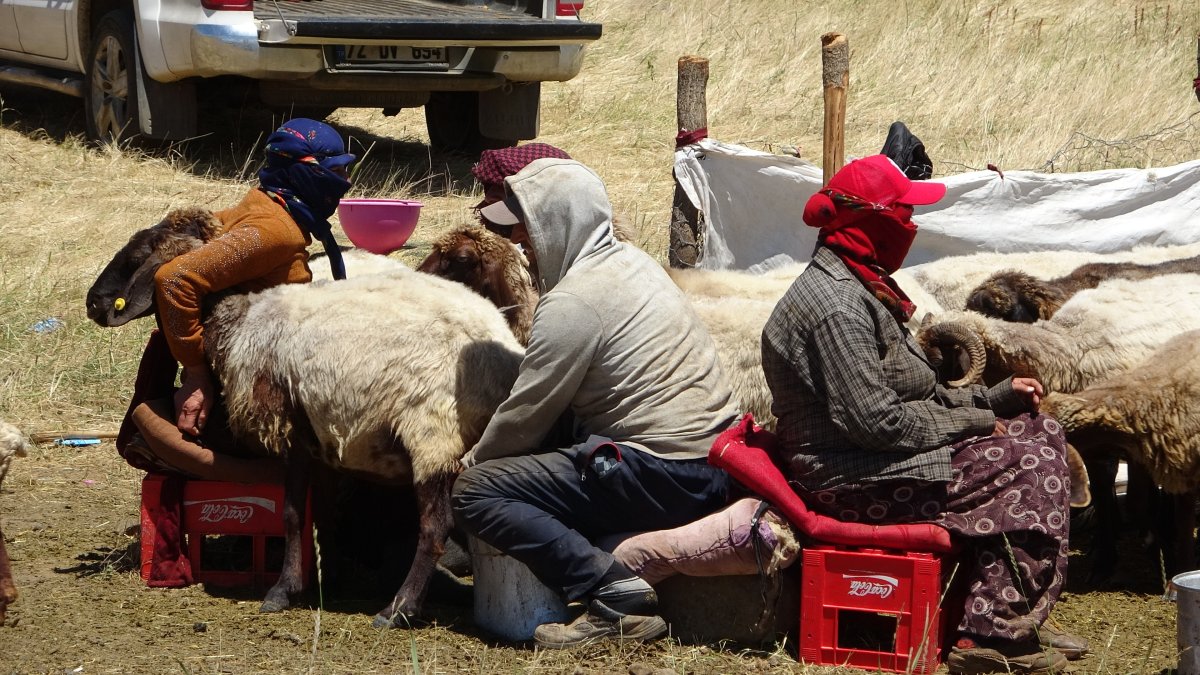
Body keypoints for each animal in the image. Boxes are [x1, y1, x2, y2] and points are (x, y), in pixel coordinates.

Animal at [87, 206, 528, 624]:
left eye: (139, 256)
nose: (94, 303)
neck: (236, 318)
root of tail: (504, 355)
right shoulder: (328, 438)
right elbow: (325, 515)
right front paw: (329, 579)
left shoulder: (289, 430)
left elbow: (292, 514)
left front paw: (282, 591)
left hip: (433, 436)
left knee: (435, 529)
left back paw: (398, 609)